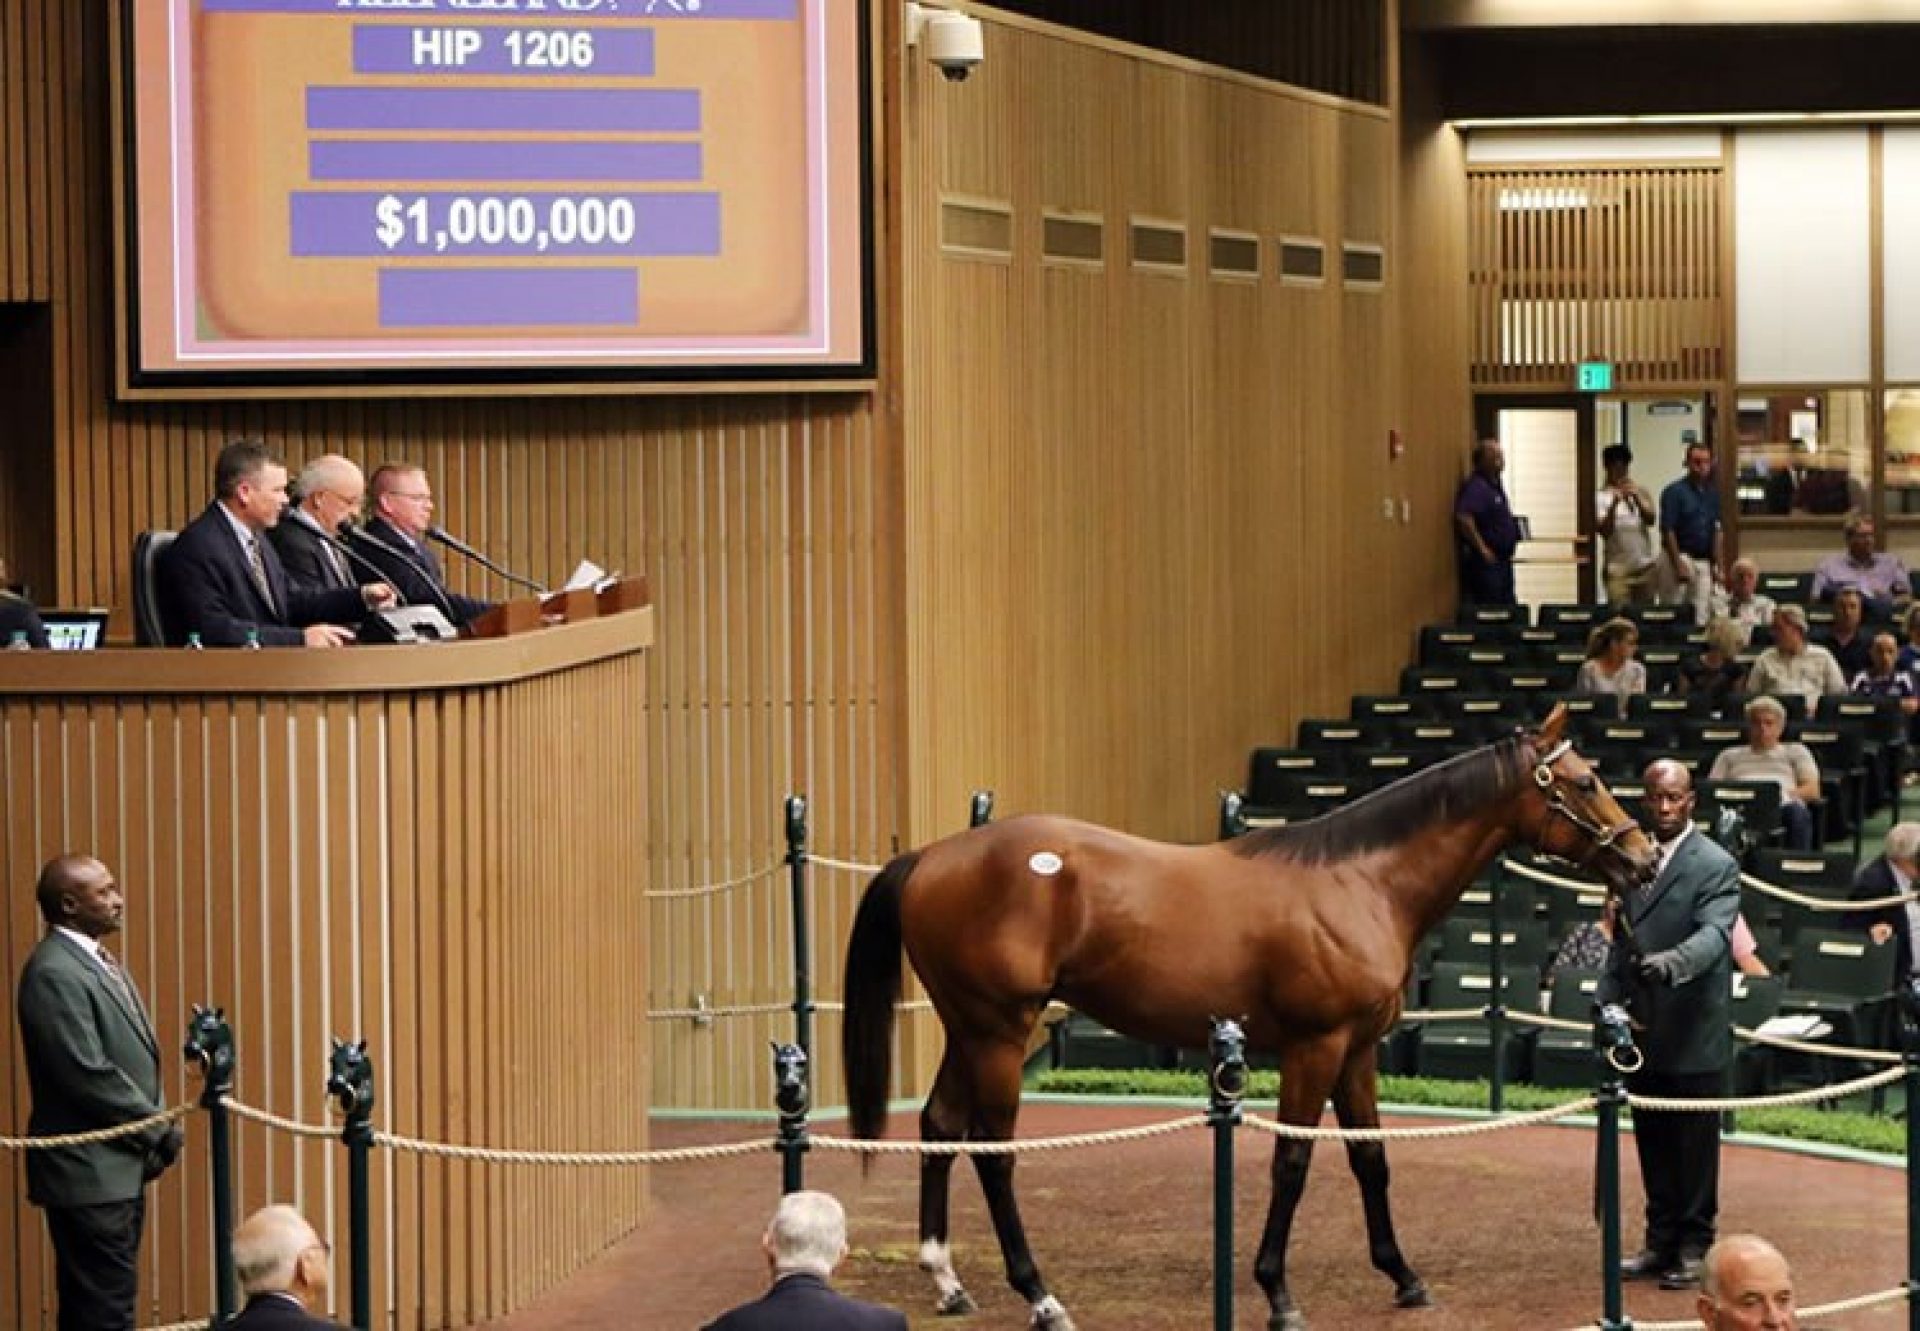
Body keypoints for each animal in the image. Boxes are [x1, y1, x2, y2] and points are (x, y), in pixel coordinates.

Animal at [848, 699, 1658, 1321]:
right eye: (1585, 781)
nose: (1645, 858)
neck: (1360, 881)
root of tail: (931, 856)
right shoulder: (1314, 1046)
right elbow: (1292, 1161)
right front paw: (1276, 1291)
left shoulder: (1357, 1050)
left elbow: (1371, 1158)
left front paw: (1403, 1276)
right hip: (999, 1032)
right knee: (994, 1151)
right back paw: (1040, 1295)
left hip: (970, 1028)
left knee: (940, 1127)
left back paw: (948, 1281)